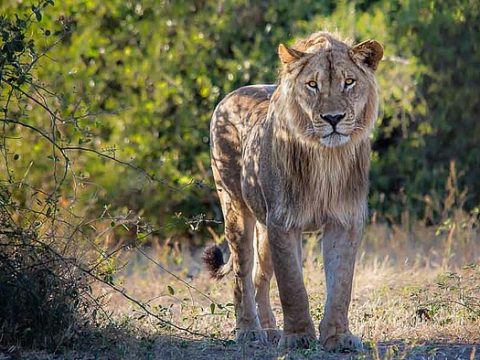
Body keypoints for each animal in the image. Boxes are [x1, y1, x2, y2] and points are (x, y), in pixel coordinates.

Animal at [202, 31, 382, 352]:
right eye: (312, 85)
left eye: (349, 82)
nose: (333, 118)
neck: (326, 158)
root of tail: (230, 95)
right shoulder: (283, 222)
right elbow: (292, 286)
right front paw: (298, 337)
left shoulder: (345, 221)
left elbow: (341, 285)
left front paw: (338, 338)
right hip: (235, 207)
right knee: (241, 275)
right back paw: (249, 331)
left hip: (265, 228)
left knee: (260, 278)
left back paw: (271, 330)